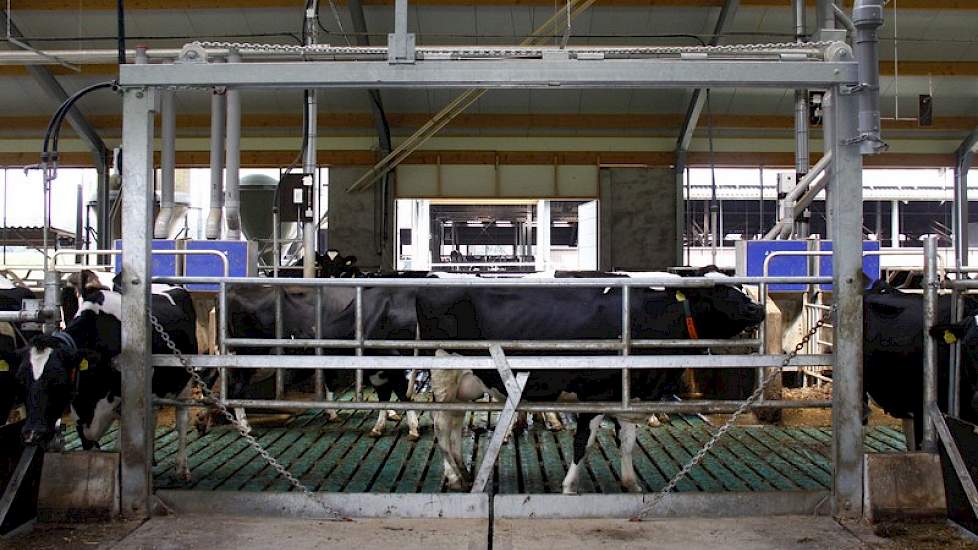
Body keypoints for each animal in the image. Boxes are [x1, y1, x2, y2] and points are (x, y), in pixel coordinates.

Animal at [19, 274, 198, 480]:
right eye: (22, 380)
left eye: (59, 380)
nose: (33, 434)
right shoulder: (80, 411)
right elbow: (90, 446)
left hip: (184, 382)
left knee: (181, 420)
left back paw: (182, 468)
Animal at [416, 274, 768, 494]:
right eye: (719, 291)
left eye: (740, 286)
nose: (759, 308)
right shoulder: (595, 395)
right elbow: (583, 443)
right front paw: (570, 486)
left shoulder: (629, 397)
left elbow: (627, 442)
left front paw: (631, 483)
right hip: (444, 371)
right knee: (441, 426)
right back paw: (456, 476)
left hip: (466, 382)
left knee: (453, 423)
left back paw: (462, 471)